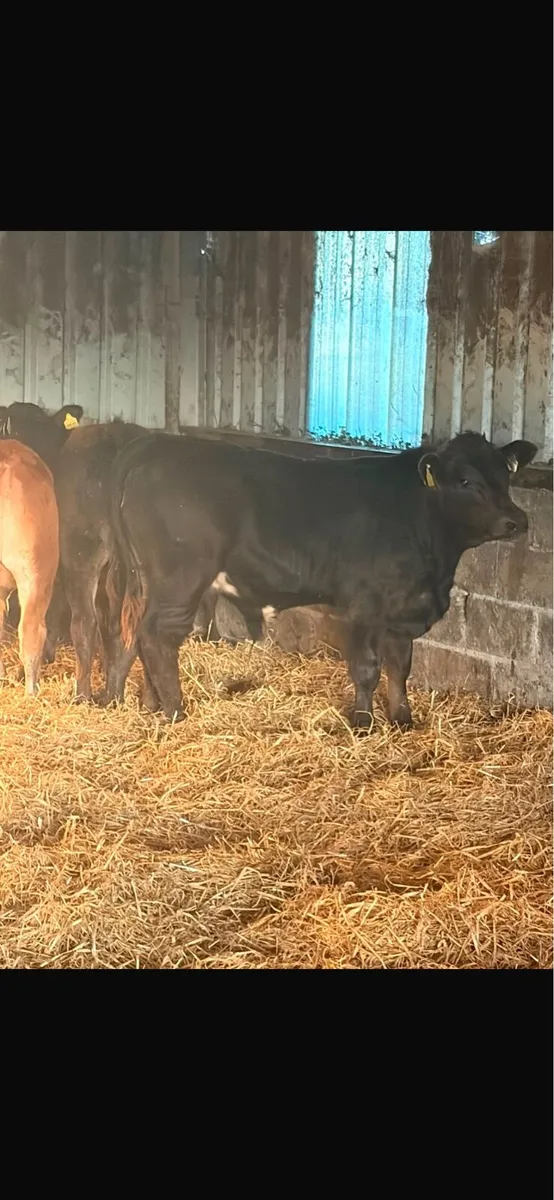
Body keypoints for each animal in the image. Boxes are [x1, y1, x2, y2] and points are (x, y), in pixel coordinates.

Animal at [107, 429, 537, 728]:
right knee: (159, 636)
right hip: (182, 577)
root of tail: (156, 444)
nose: (516, 520)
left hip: (146, 582)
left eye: (505, 475)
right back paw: (175, 711)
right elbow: (367, 667)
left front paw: (402, 720)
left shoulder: (403, 609)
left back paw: (144, 704)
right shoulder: (364, 606)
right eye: (465, 480)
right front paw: (363, 724)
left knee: (136, 634)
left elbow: (400, 666)